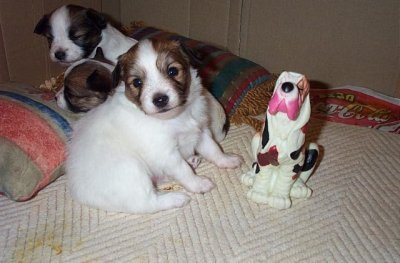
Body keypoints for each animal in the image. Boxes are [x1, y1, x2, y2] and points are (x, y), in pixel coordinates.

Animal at [65, 39, 244, 214]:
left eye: (172, 71)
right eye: (137, 82)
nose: (160, 100)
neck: (175, 117)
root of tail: (78, 193)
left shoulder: (200, 130)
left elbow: (213, 149)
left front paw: (227, 160)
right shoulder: (166, 152)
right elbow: (183, 170)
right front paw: (198, 183)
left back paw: (192, 161)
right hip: (133, 171)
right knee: (147, 203)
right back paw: (176, 198)